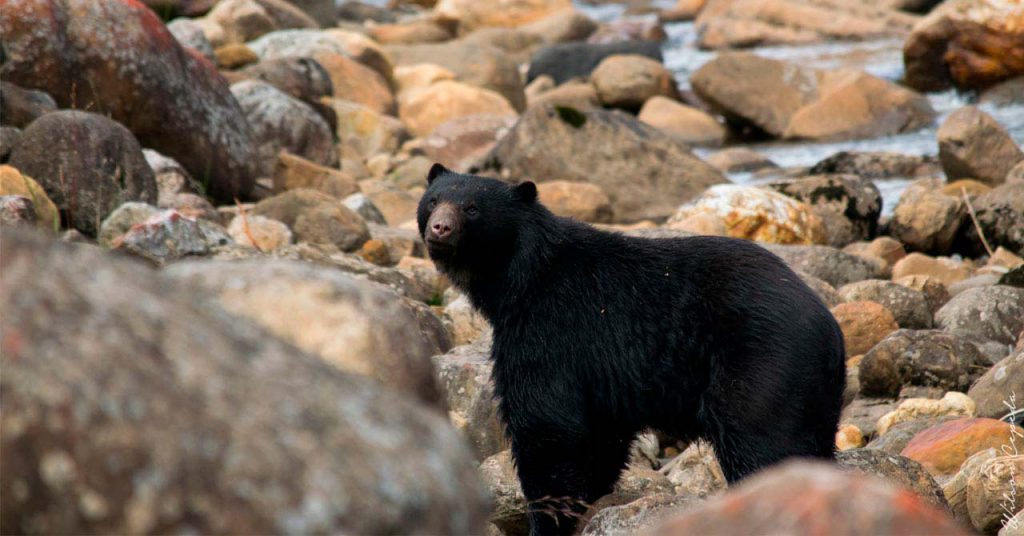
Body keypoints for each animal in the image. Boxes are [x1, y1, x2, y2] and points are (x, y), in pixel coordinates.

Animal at [417, 166, 847, 532]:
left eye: (472, 208)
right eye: (433, 200)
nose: (440, 227)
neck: (518, 278)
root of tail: (828, 327)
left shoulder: (548, 330)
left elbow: (547, 425)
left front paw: (546, 522)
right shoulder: (601, 374)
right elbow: (599, 434)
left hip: (760, 365)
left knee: (763, 442)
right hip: (810, 391)